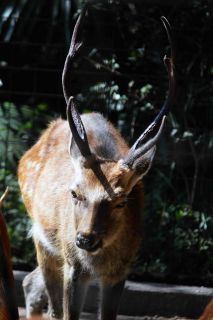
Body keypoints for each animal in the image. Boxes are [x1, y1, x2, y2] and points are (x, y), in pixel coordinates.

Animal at [17, 6, 175, 320]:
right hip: (43, 236)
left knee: (31, 282)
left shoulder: (122, 270)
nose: (85, 239)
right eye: (75, 193)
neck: (98, 261)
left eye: (121, 201)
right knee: (48, 301)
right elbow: (68, 314)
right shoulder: (73, 265)